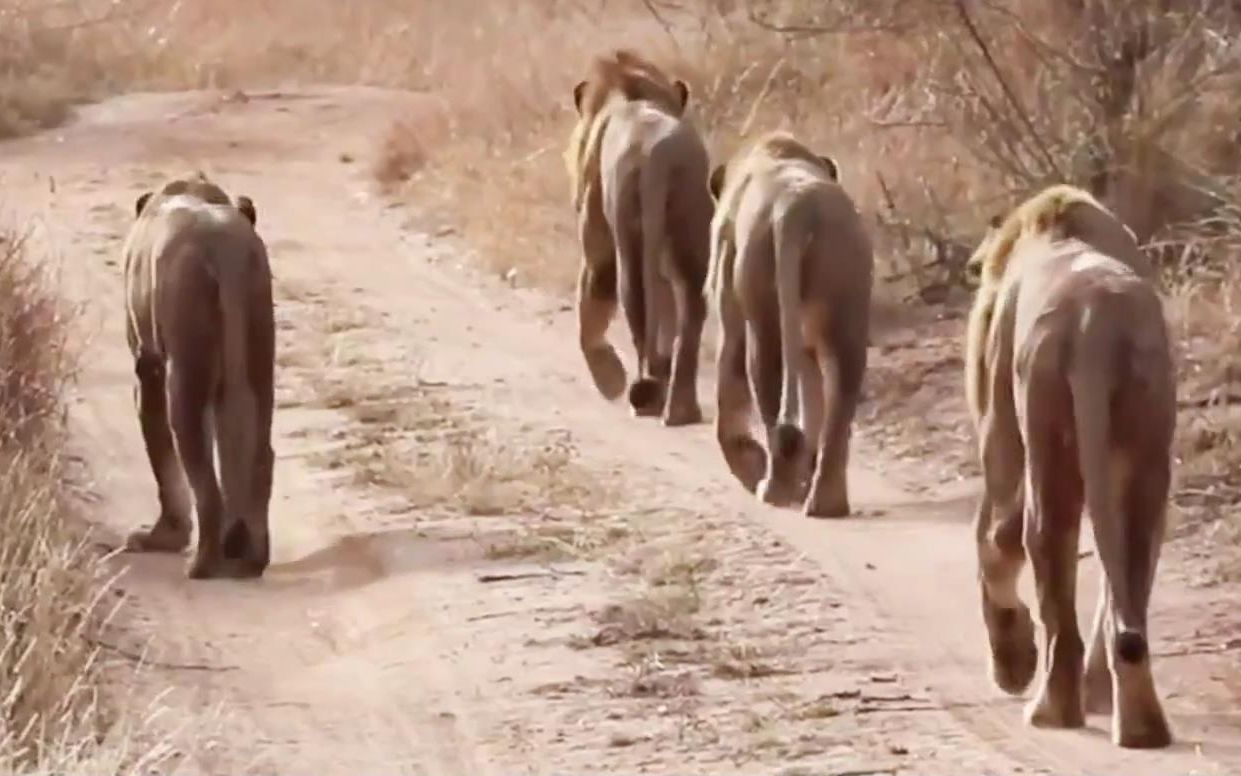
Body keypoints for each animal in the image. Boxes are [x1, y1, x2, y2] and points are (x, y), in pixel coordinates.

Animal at [121, 172, 276, 578]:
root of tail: (224, 249)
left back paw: (202, 562)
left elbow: (162, 459)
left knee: (204, 479)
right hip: (258, 362)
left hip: (184, 373)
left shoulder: (149, 368)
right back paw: (248, 556)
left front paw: (161, 538)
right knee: (259, 456)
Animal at [560, 49, 709, 424]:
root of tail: (658, 153)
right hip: (689, 230)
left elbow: (590, 309)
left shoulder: (598, 235)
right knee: (689, 312)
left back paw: (646, 397)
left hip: (628, 236)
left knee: (636, 307)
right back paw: (681, 407)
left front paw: (609, 379)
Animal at [709, 131, 873, 521]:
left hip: (763, 314)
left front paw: (746, 462)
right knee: (839, 396)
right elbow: (813, 396)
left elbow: (728, 371)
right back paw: (826, 502)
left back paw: (774, 490)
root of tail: (797, 206)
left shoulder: (728, 296)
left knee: (765, 380)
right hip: (845, 307)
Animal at [967, 182, 1171, 749]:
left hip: (1045, 420)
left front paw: (1012, 663)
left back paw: (1051, 709)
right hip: (1146, 434)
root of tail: (1098, 324)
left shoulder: (1000, 428)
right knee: (1133, 554)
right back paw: (1140, 723)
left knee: (1039, 539)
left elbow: (994, 540)